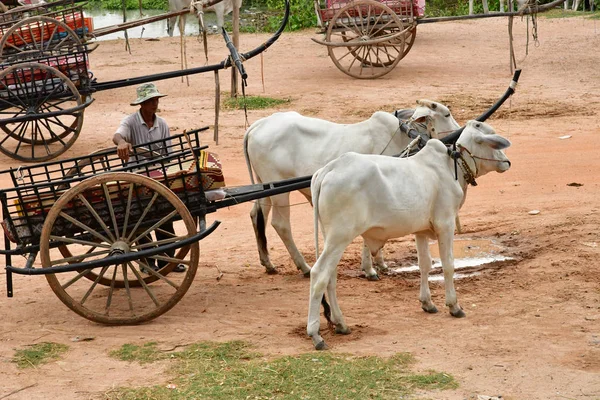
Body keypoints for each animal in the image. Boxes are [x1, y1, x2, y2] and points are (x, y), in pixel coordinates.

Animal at [244, 100, 460, 278]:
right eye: (447, 114)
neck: (403, 134)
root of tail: (258, 125)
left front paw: (380, 264)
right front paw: (370, 269)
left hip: (265, 186)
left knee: (256, 216)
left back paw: (268, 263)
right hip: (279, 190)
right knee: (280, 224)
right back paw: (304, 267)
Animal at [310, 120, 510, 348]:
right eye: (491, 139)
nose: (507, 162)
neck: (451, 165)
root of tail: (328, 169)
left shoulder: (421, 231)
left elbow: (425, 264)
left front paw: (427, 303)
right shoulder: (446, 225)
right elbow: (448, 265)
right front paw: (454, 305)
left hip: (331, 238)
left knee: (330, 276)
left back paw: (341, 323)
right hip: (339, 237)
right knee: (318, 274)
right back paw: (316, 334)